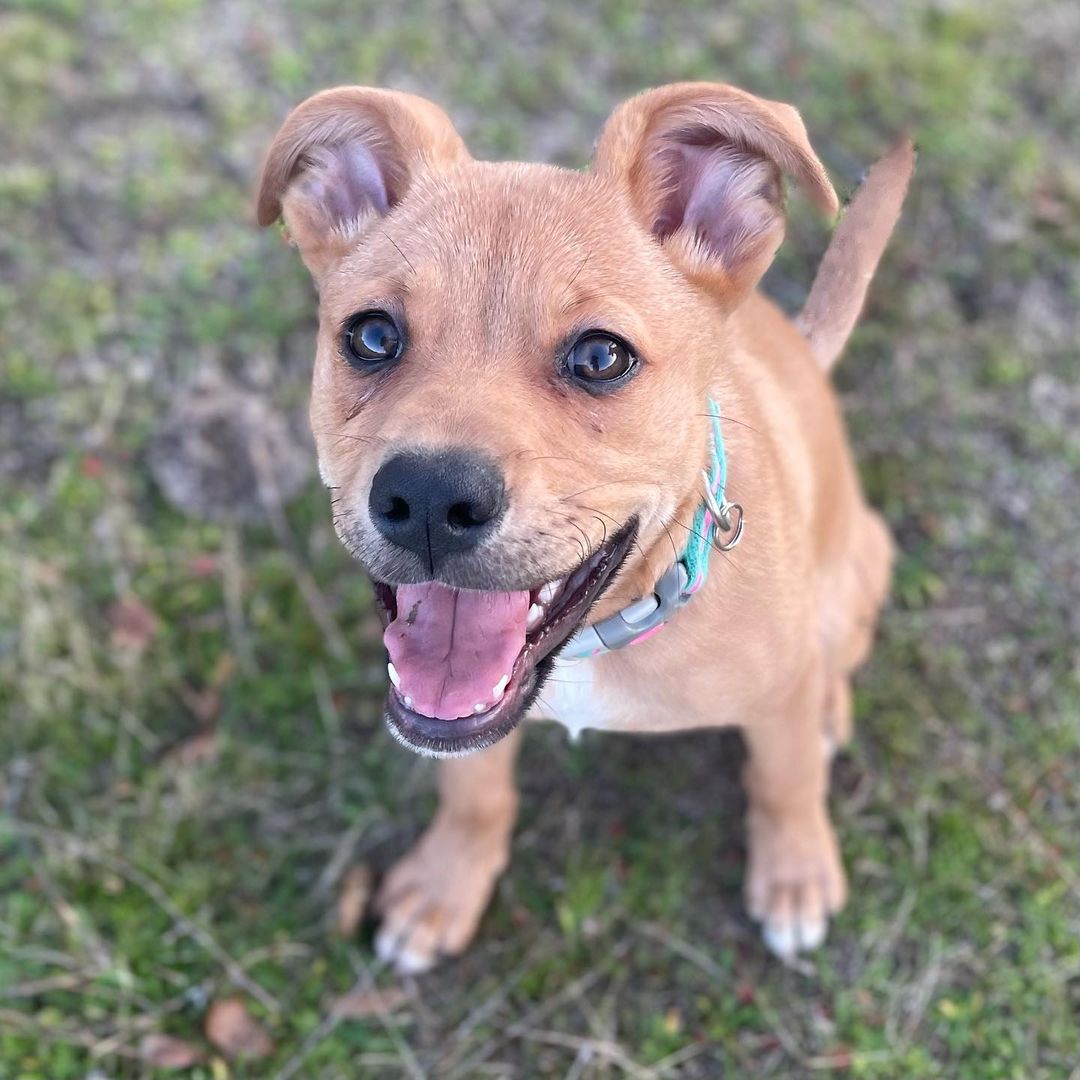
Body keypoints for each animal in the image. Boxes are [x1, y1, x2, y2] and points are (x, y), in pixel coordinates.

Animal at [254, 84, 911, 976]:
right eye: (373, 336)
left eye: (601, 358)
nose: (427, 500)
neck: (599, 643)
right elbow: (474, 790)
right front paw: (445, 883)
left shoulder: (777, 700)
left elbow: (786, 782)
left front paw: (796, 874)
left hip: (854, 575)